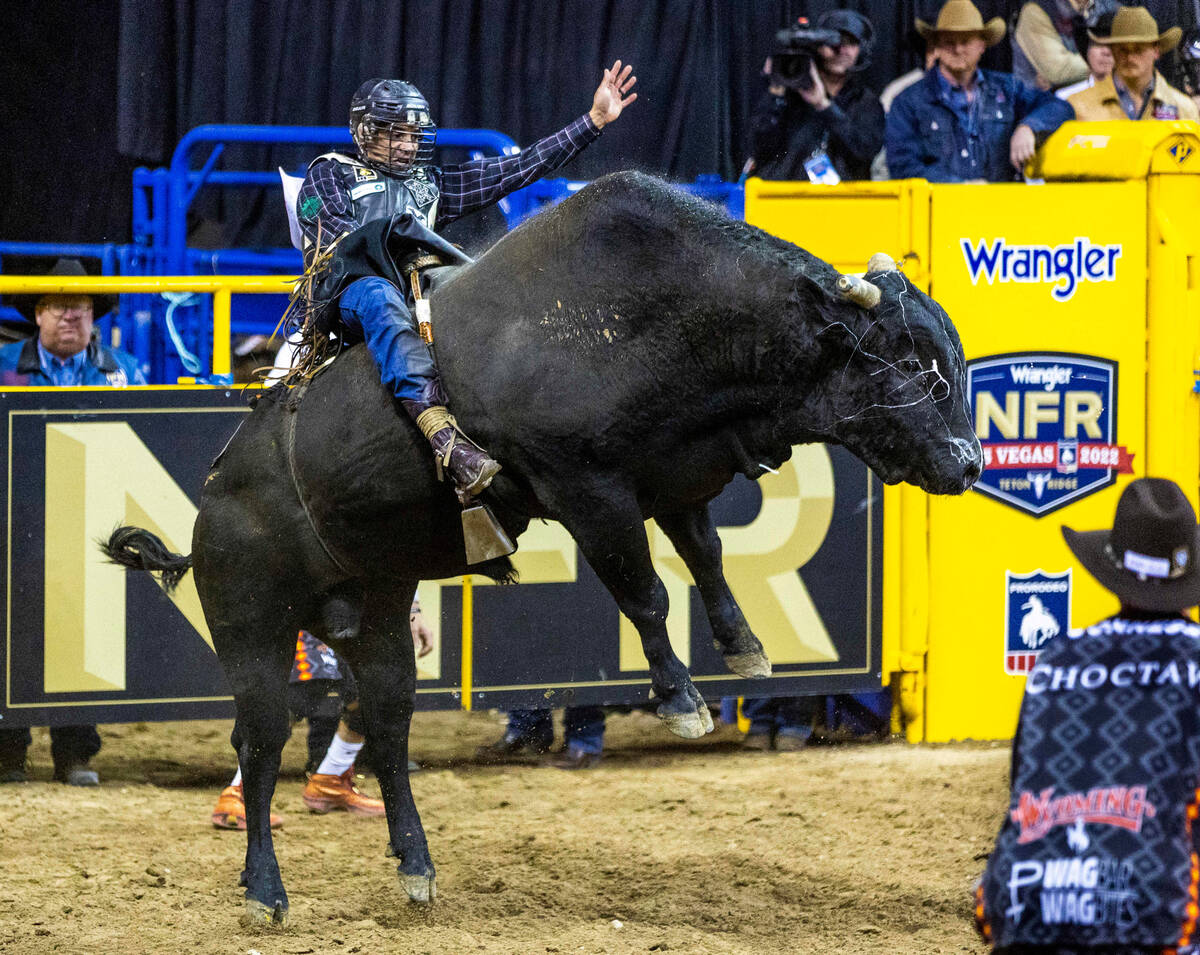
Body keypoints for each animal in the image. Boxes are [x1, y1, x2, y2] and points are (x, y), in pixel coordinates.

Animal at [105, 169, 984, 926]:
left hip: (378, 618)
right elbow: (645, 590)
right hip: (252, 627)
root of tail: (213, 498)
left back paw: (416, 867)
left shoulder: (672, 476)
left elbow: (706, 557)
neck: (657, 313)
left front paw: (744, 648)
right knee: (260, 744)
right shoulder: (587, 490)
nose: (970, 462)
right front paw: (683, 699)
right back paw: (265, 889)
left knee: (387, 729)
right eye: (911, 362)